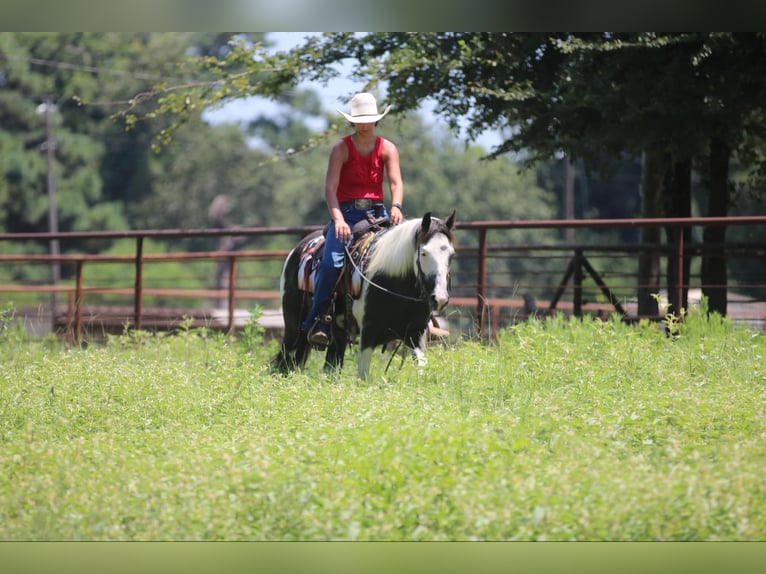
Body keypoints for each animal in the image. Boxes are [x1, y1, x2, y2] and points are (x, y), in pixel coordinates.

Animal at [274, 211, 456, 379]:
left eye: (451, 255)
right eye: (424, 253)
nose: (440, 299)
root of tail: (297, 250)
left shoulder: (415, 334)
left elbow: (421, 369)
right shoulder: (368, 333)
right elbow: (363, 377)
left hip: (338, 334)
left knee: (330, 365)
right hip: (293, 326)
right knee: (285, 360)